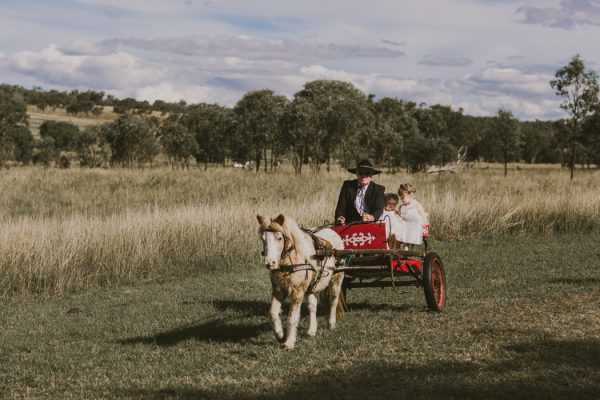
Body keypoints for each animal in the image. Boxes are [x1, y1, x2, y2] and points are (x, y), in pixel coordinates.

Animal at [255, 214, 344, 348]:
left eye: (279, 238)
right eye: (263, 239)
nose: (270, 262)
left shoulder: (297, 292)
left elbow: (292, 318)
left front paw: (289, 342)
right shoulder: (278, 291)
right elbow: (273, 313)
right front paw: (280, 334)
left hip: (336, 279)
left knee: (333, 301)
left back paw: (331, 324)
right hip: (313, 286)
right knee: (312, 306)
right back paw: (311, 330)